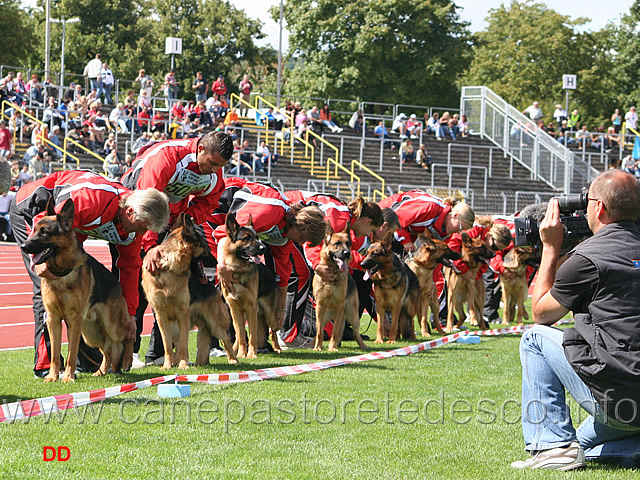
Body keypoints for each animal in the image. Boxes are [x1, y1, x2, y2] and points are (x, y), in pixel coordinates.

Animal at [21, 199, 135, 382]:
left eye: (44, 232)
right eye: (34, 230)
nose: (23, 246)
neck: (60, 272)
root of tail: (115, 283)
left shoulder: (73, 321)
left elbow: (71, 354)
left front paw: (68, 377)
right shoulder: (53, 319)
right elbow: (55, 355)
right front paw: (53, 377)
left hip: (111, 326)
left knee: (128, 336)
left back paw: (127, 360)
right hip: (90, 333)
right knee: (108, 350)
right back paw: (101, 371)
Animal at [142, 212, 238, 370]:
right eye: (205, 247)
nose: (217, 262)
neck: (169, 268)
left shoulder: (183, 315)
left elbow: (183, 345)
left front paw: (183, 365)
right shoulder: (162, 317)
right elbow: (167, 346)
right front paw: (167, 366)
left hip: (214, 323)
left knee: (226, 339)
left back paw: (233, 360)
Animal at [219, 212, 282, 358]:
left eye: (257, 238)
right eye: (246, 238)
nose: (264, 248)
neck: (238, 269)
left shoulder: (251, 307)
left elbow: (253, 335)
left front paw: (251, 354)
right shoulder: (235, 309)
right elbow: (241, 335)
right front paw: (242, 354)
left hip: (269, 314)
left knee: (273, 331)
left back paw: (277, 348)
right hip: (236, 315)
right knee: (238, 334)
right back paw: (234, 349)